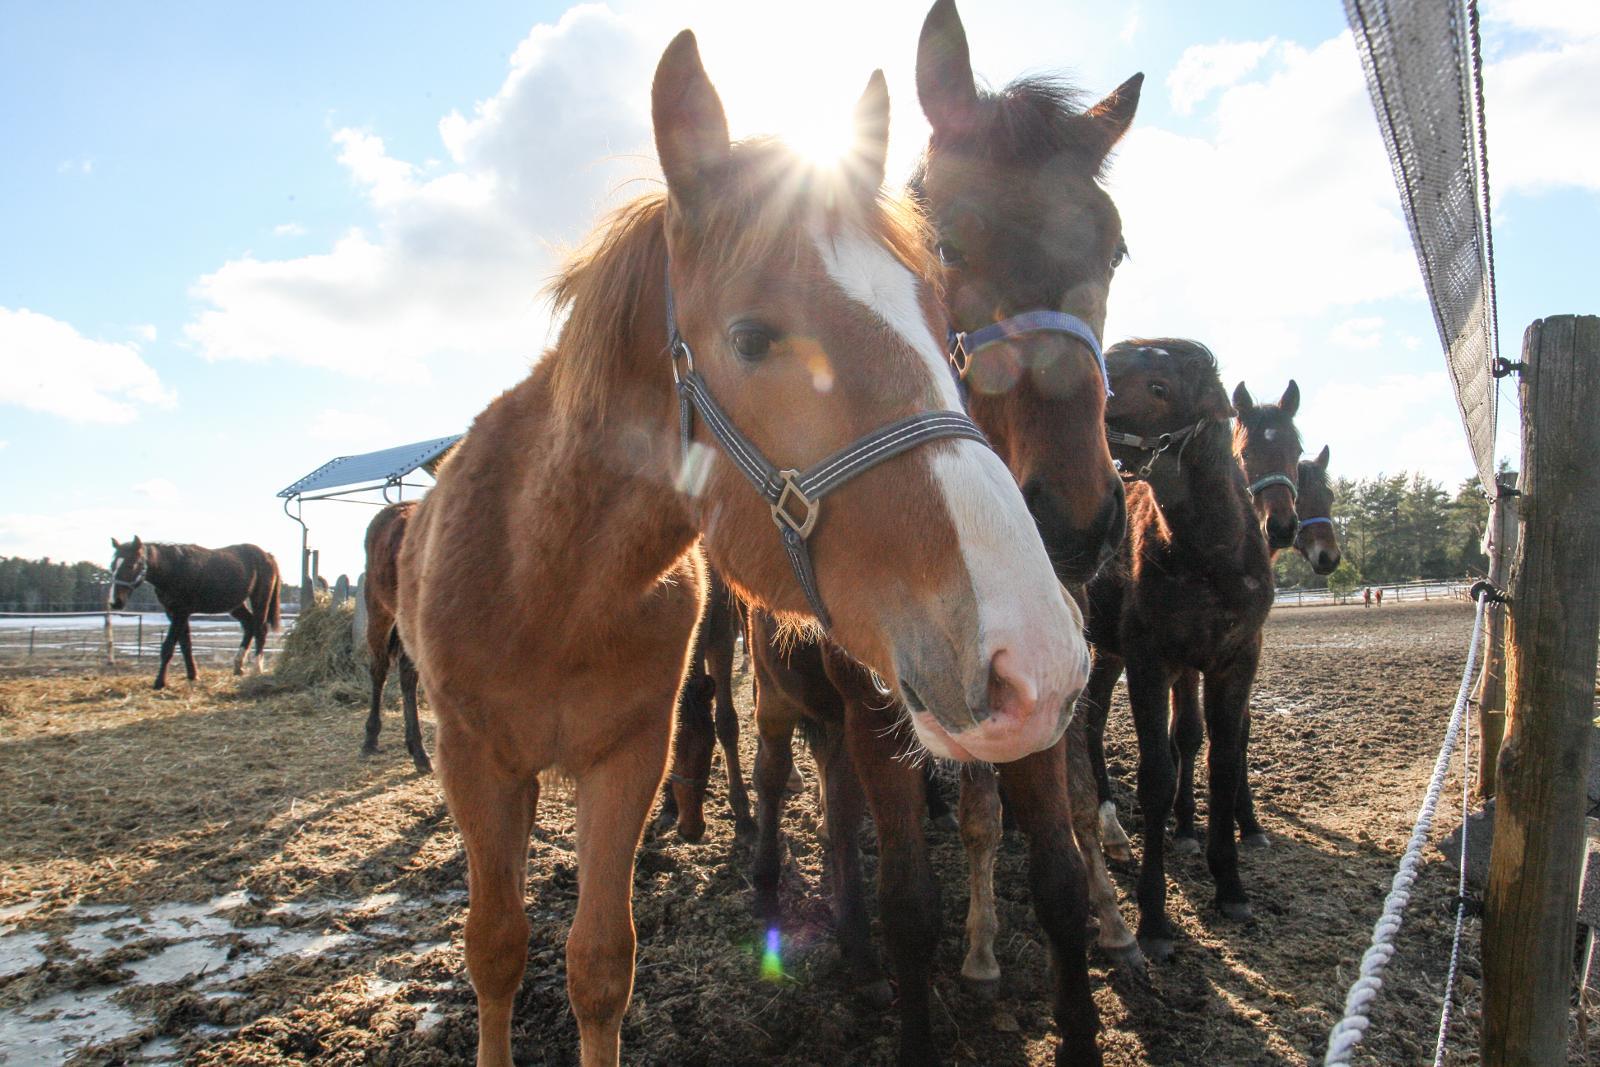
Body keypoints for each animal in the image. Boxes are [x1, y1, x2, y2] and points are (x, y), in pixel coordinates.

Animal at [108, 534, 281, 694]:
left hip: (260, 599)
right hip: (236, 604)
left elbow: (168, 647)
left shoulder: (181, 612)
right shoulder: (173, 613)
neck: (173, 569)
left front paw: (159, 682)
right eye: (112, 566)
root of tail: (267, 555)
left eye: (131, 565)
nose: (115, 602)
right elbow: (186, 644)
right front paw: (192, 675)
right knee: (249, 625)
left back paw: (257, 669)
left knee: (260, 629)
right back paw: (238, 665)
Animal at [393, 33, 1088, 1067]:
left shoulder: (625, 759)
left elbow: (599, 963)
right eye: (754, 336)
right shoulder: (473, 759)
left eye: (944, 329)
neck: (543, 582)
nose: (1037, 659)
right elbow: (496, 946)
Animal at [748, 2, 1139, 1062]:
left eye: (1114, 250)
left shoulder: (1044, 695)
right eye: (947, 246)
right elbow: (912, 904)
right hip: (782, 694)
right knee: (780, 776)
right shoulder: (879, 714)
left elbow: (1056, 878)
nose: (1078, 519)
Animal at [1075, 340, 1273, 959]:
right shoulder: (1150, 662)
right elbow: (1158, 775)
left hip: (1109, 654)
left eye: (1159, 387)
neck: (1212, 555)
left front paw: (1231, 885)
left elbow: (1224, 763)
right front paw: (1155, 918)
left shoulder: (1235, 662)